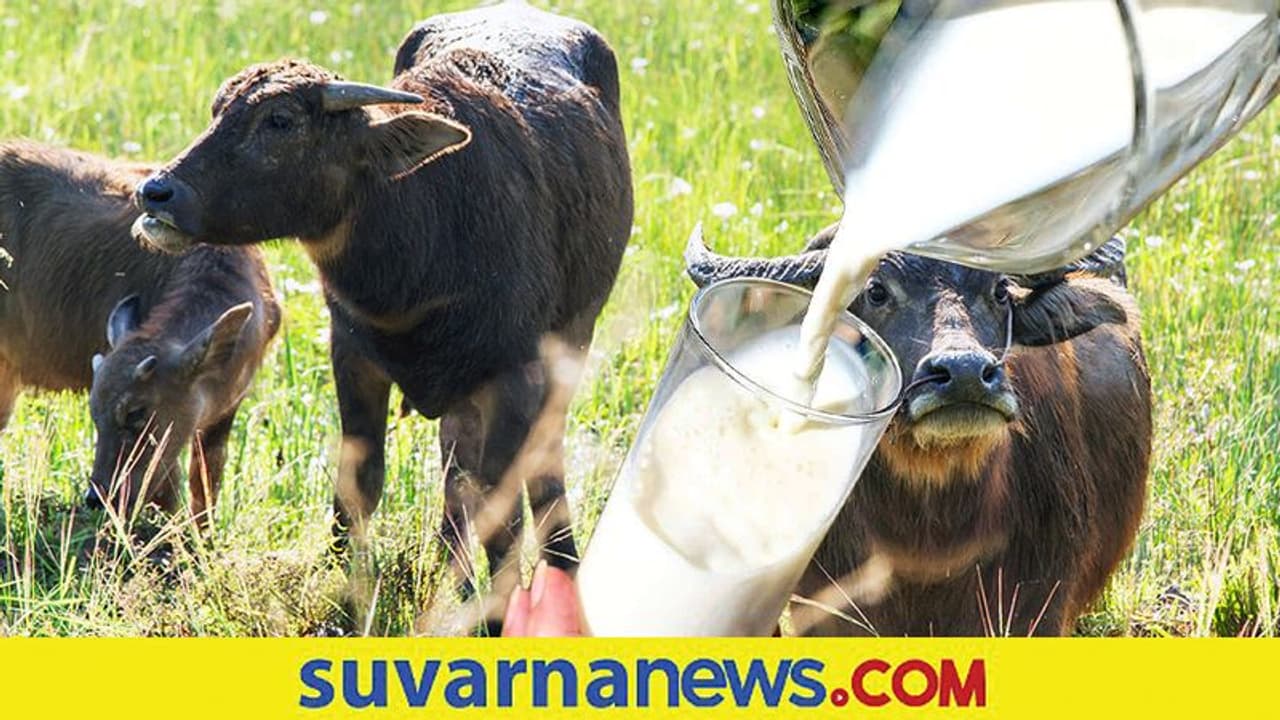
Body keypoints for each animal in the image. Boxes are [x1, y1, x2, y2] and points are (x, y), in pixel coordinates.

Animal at [132, 3, 633, 629]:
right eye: (219, 108)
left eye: (279, 121)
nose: (156, 193)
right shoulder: (353, 357)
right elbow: (359, 489)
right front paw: (347, 601)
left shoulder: (514, 376)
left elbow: (505, 514)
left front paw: (499, 623)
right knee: (456, 474)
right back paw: (453, 579)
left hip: (573, 342)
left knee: (539, 471)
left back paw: (558, 570)